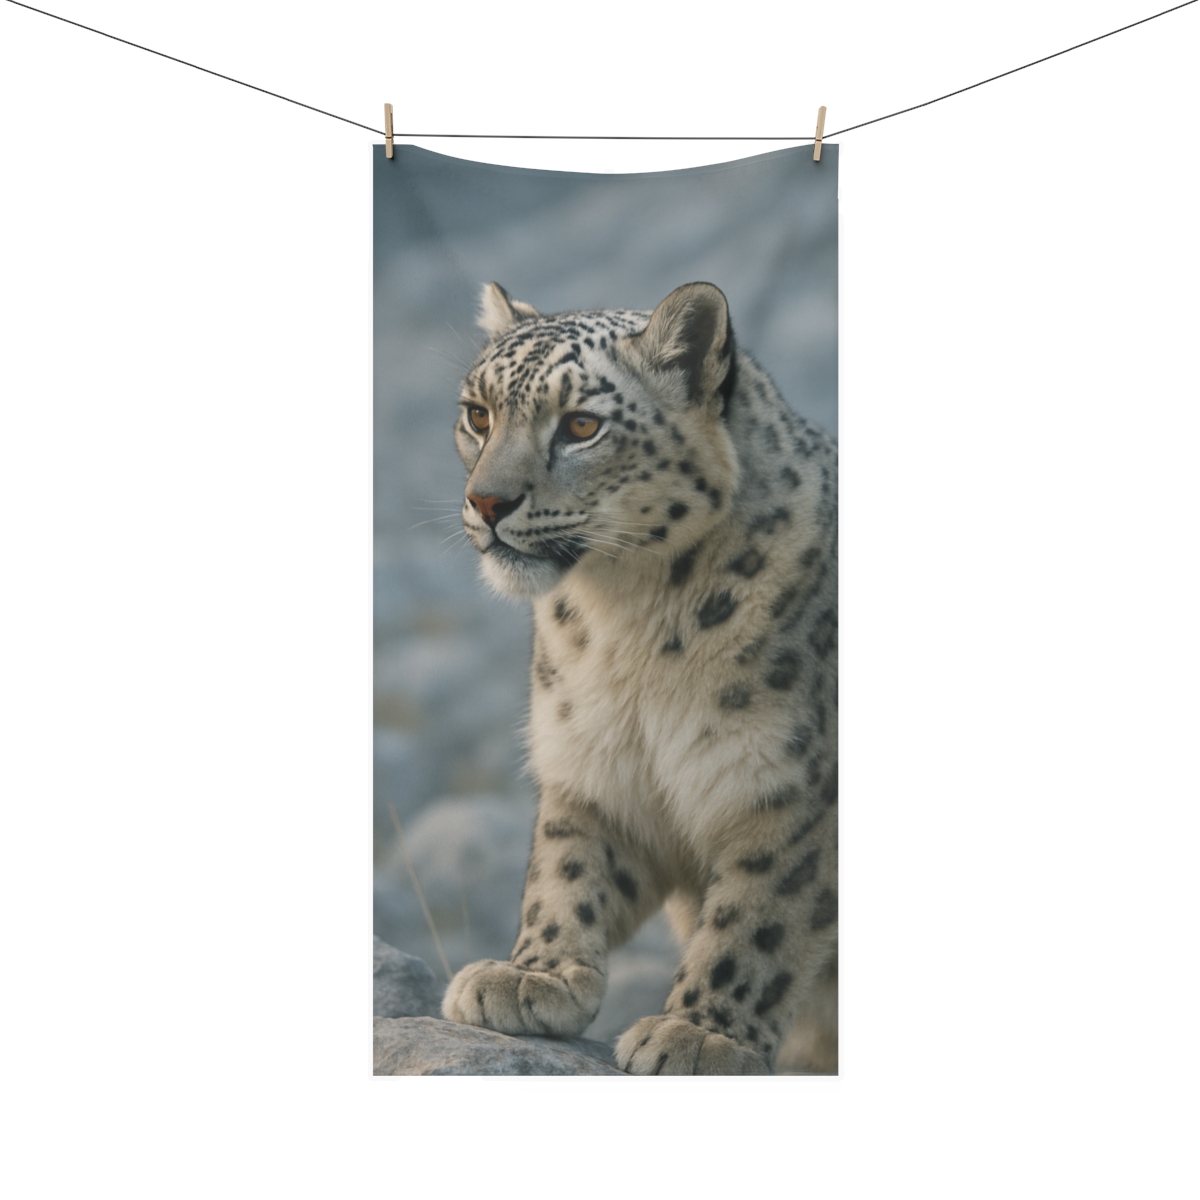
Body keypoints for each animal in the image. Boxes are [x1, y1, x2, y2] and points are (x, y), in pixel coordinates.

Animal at [440, 280, 837, 1075]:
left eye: (581, 425)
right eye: (479, 414)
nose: (487, 502)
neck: (630, 624)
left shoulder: (794, 795)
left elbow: (760, 917)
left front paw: (701, 1034)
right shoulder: (594, 764)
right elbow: (566, 869)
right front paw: (531, 976)